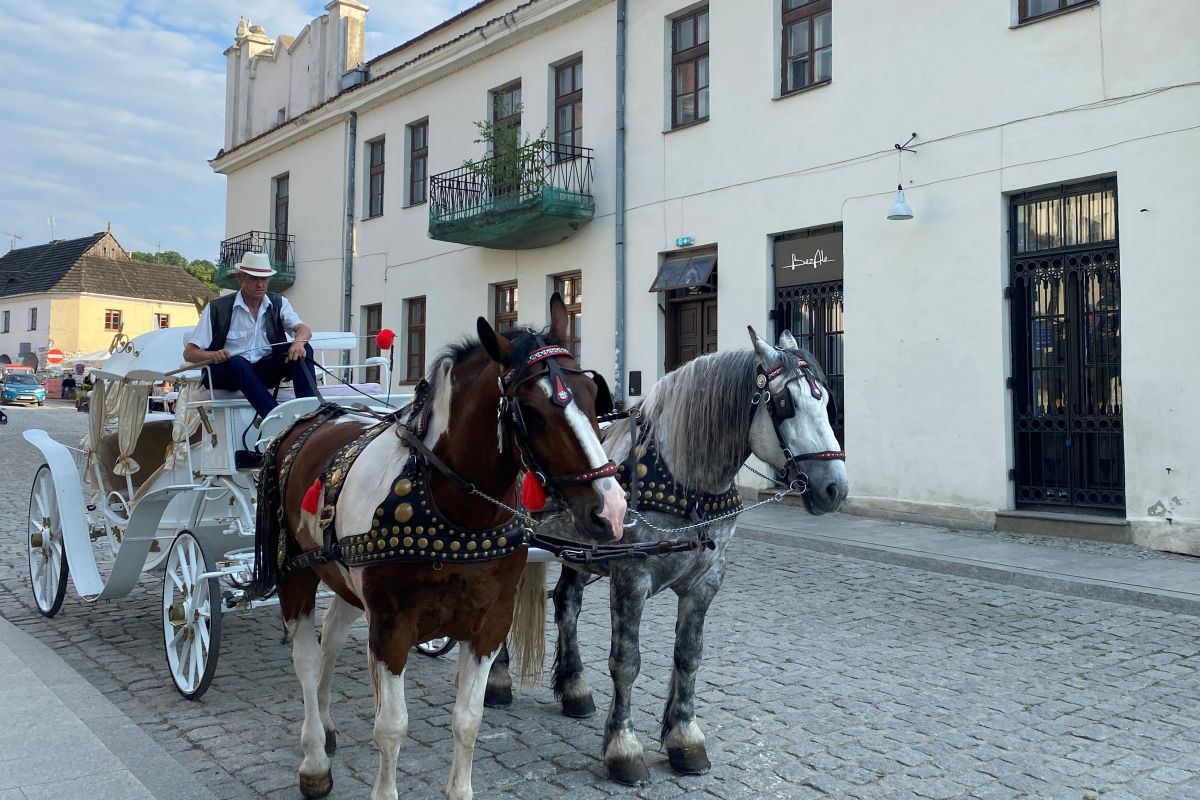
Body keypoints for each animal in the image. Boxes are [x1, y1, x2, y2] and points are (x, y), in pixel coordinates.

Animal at [253, 296, 628, 800]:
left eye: (592, 397)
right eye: (530, 412)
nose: (611, 509)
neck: (454, 511)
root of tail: (314, 416)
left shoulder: (489, 624)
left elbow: (468, 720)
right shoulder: (391, 626)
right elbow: (391, 725)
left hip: (343, 575)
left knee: (330, 636)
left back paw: (328, 727)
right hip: (296, 573)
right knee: (307, 658)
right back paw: (314, 757)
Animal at [482, 326, 849, 782]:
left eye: (826, 400)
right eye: (785, 404)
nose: (835, 488)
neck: (683, 479)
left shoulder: (706, 580)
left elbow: (689, 657)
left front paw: (685, 739)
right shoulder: (630, 576)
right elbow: (626, 662)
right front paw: (624, 749)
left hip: (579, 550)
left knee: (566, 604)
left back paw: (575, 688)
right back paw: (497, 680)